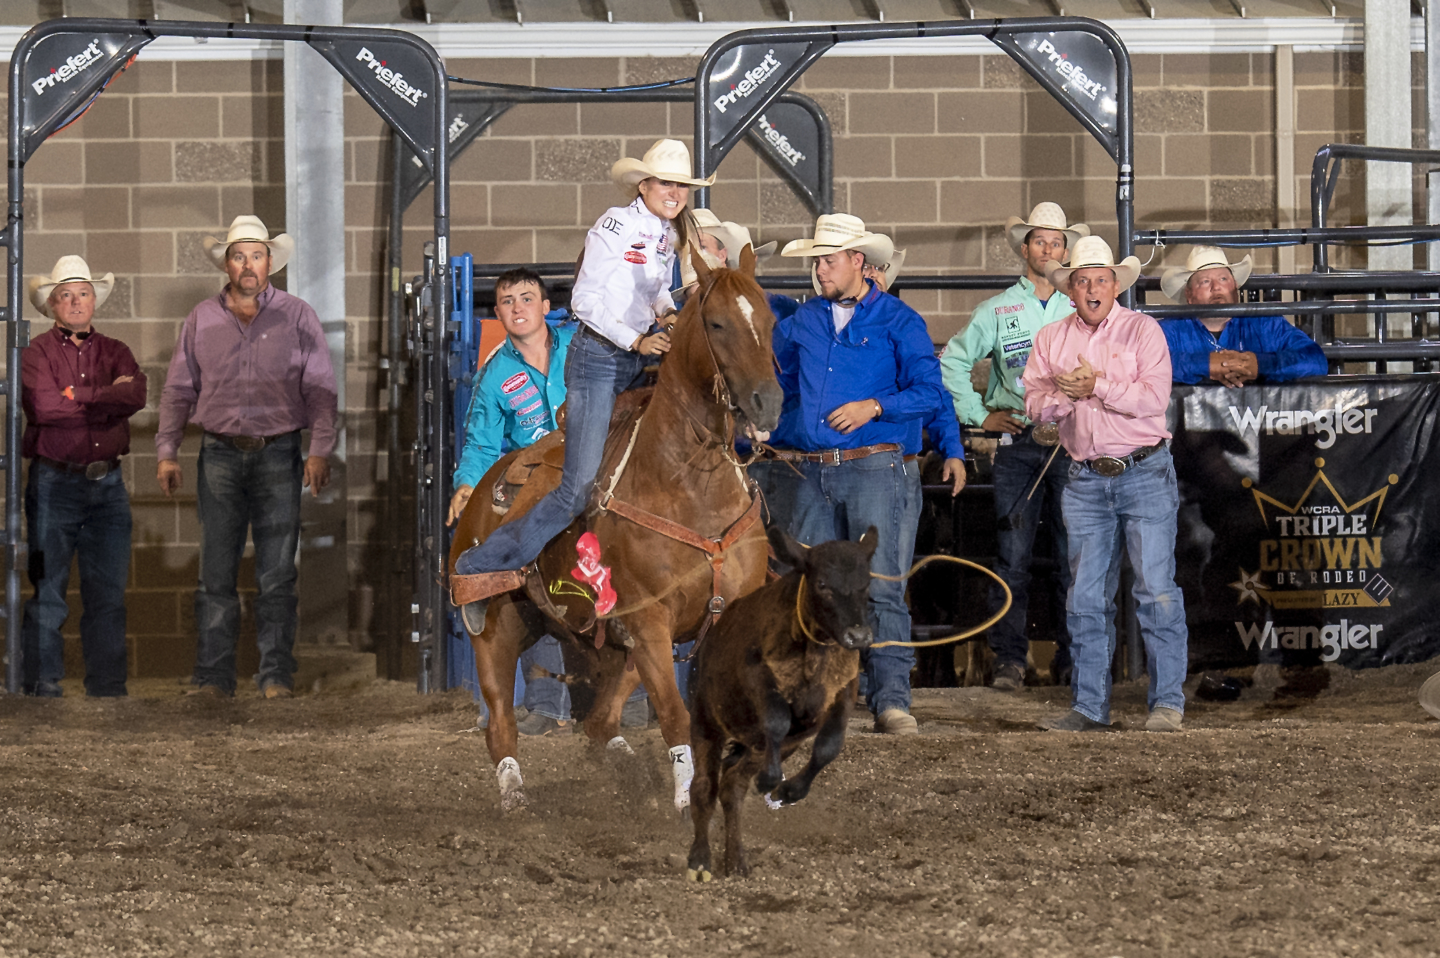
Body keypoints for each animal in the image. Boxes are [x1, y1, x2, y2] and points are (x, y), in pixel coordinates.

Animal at [449, 244, 789, 806]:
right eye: (716, 323)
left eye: (769, 320)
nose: (769, 403)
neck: (687, 486)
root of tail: (480, 490)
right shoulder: (649, 623)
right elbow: (674, 714)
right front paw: (686, 797)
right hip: (500, 634)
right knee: (500, 725)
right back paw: (514, 791)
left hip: (597, 640)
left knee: (601, 722)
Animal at [685, 527, 875, 875]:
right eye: (822, 584)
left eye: (865, 584)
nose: (858, 636)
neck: (814, 652)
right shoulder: (760, 681)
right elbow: (776, 720)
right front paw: (771, 779)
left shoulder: (843, 693)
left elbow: (829, 746)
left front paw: (789, 790)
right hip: (706, 719)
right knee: (704, 787)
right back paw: (700, 858)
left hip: (776, 746)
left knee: (733, 785)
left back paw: (736, 860)